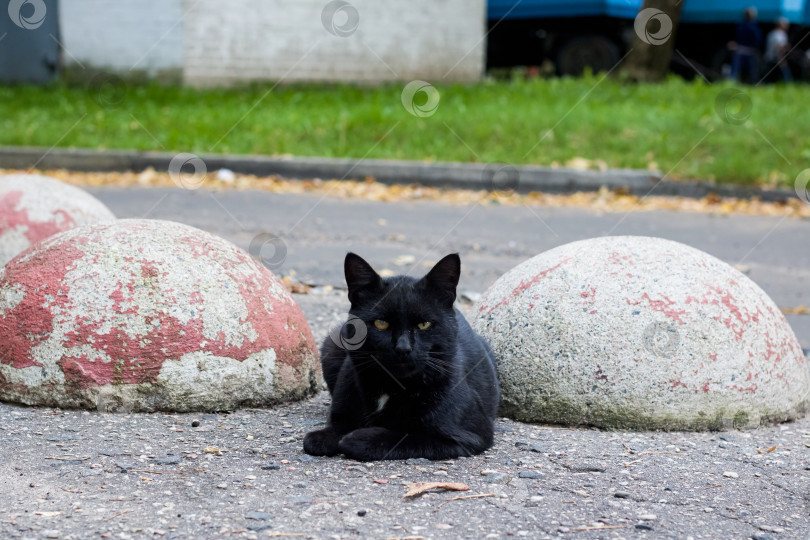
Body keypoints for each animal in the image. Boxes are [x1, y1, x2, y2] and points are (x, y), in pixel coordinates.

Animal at [300, 252, 496, 460]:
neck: (389, 386)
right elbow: (323, 434)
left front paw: (358, 438)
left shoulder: (469, 436)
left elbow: (407, 436)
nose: (403, 348)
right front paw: (325, 437)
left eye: (424, 324)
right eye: (381, 323)